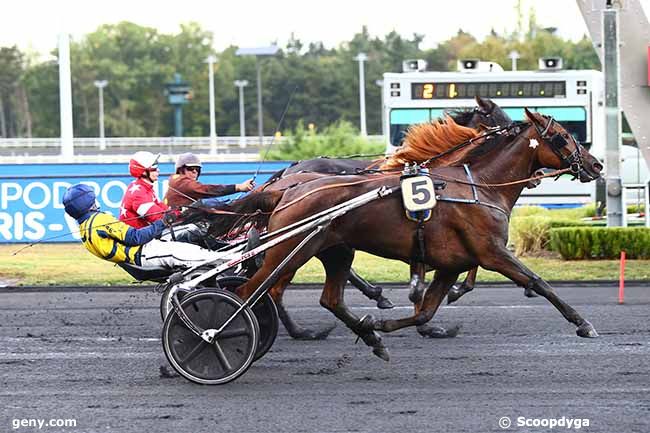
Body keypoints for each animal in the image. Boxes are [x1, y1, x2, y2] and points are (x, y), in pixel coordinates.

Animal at [227, 109, 596, 360]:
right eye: (562, 136)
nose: (596, 165)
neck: (480, 185)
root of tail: (285, 189)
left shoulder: (451, 262)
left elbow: (425, 308)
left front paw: (383, 326)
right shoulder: (490, 251)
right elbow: (538, 281)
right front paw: (582, 323)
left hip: (336, 250)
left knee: (328, 298)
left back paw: (367, 333)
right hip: (290, 250)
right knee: (253, 292)